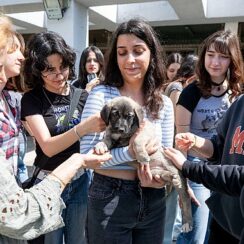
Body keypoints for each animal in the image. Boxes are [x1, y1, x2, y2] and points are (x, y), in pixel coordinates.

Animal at [95, 96, 193, 232]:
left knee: (185, 199)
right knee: (164, 176)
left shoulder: (144, 132)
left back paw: (187, 223)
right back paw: (169, 176)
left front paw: (142, 156)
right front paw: (100, 145)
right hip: (154, 172)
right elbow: (106, 138)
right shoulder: (111, 134)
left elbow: (136, 141)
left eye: (129, 116)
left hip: (179, 179)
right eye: (115, 114)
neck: (122, 136)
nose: (120, 129)